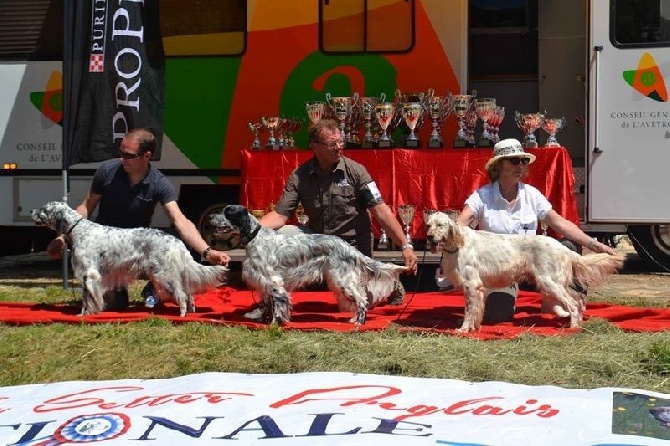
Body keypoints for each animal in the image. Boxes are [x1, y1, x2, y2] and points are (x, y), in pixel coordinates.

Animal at [30, 200, 230, 316]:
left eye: (43, 209)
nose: (31, 211)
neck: (78, 230)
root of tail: (177, 242)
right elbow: (88, 298)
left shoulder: (89, 274)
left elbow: (89, 299)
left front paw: (85, 315)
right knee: (188, 293)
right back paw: (190, 312)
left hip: (163, 274)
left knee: (181, 294)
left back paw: (181, 315)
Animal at [210, 205, 410, 324]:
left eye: (228, 212)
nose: (210, 215)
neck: (254, 237)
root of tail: (348, 247)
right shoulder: (262, 282)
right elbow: (267, 302)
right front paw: (259, 317)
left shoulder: (274, 282)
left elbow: (278, 305)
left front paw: (275, 324)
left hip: (342, 280)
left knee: (362, 300)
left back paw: (359, 322)